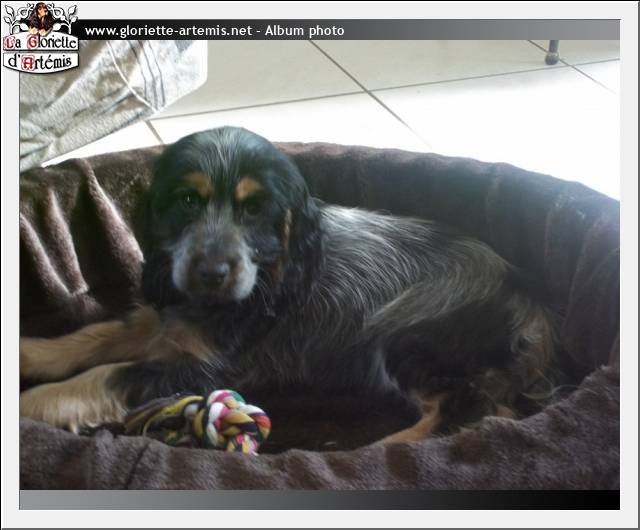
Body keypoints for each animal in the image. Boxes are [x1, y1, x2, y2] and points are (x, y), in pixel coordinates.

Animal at [20, 126, 558, 442]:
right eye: (187, 201)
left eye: (255, 210)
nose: (211, 274)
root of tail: (533, 302)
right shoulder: (164, 316)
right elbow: (96, 336)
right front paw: (31, 353)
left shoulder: (208, 366)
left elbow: (107, 373)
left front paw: (28, 404)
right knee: (492, 408)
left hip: (410, 336)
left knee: (466, 409)